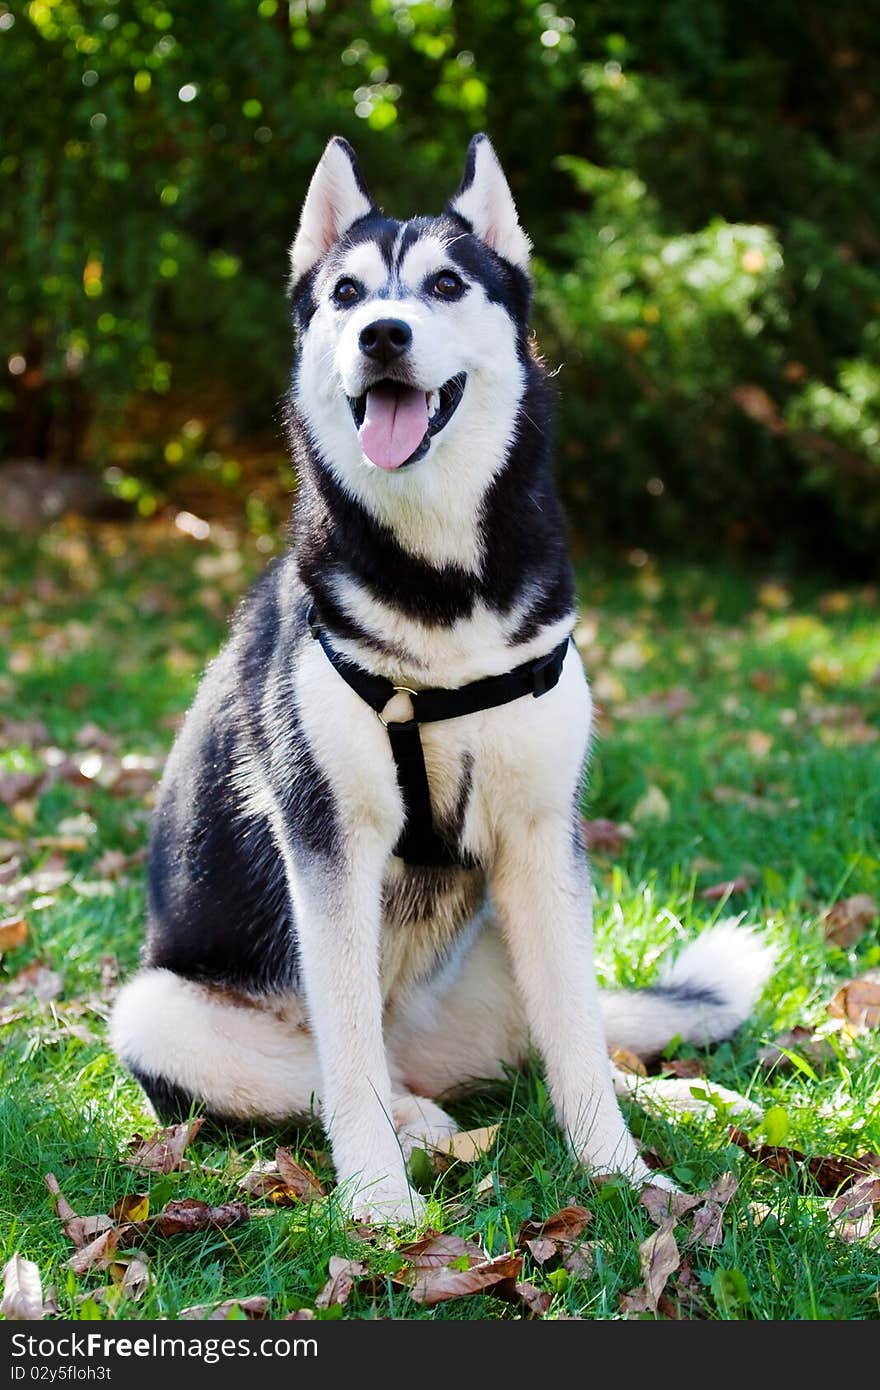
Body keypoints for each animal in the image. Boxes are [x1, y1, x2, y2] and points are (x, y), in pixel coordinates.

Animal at [108, 135, 767, 1223]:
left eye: (446, 285)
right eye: (344, 293)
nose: (381, 333)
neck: (443, 588)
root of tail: (429, 1046)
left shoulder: (542, 837)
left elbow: (575, 1038)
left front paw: (621, 1174)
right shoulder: (328, 849)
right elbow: (346, 1062)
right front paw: (377, 1201)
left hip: (511, 932)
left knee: (559, 1040)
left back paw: (680, 1096)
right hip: (157, 1010)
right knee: (342, 1068)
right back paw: (417, 1122)